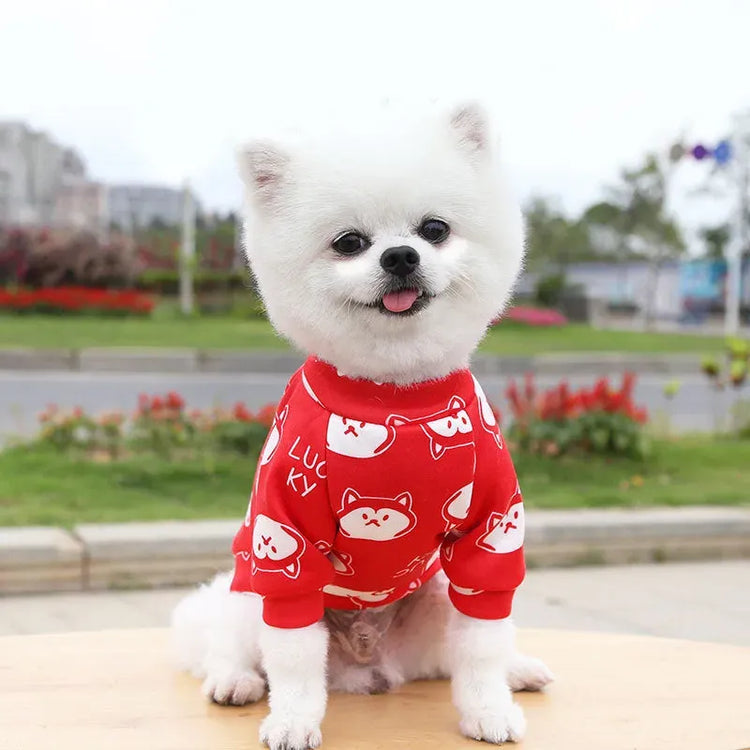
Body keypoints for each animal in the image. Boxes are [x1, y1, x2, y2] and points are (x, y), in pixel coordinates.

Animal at [173, 101, 556, 750]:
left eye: (434, 230)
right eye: (349, 242)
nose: (399, 255)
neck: (390, 395)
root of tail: (366, 663)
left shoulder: (490, 535)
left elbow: (482, 646)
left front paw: (488, 709)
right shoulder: (287, 542)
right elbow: (294, 660)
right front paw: (294, 720)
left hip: (434, 598)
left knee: (457, 653)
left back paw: (520, 669)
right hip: (248, 587)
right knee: (233, 646)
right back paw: (235, 681)